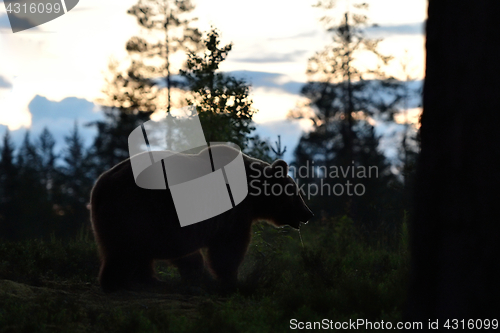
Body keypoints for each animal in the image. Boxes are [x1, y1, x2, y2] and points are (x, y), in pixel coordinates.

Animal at [90, 145, 312, 290]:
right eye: (296, 193)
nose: (308, 213)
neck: (253, 195)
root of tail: (100, 185)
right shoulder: (232, 214)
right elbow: (228, 249)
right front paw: (232, 280)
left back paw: (150, 280)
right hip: (136, 211)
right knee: (124, 251)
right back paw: (117, 280)